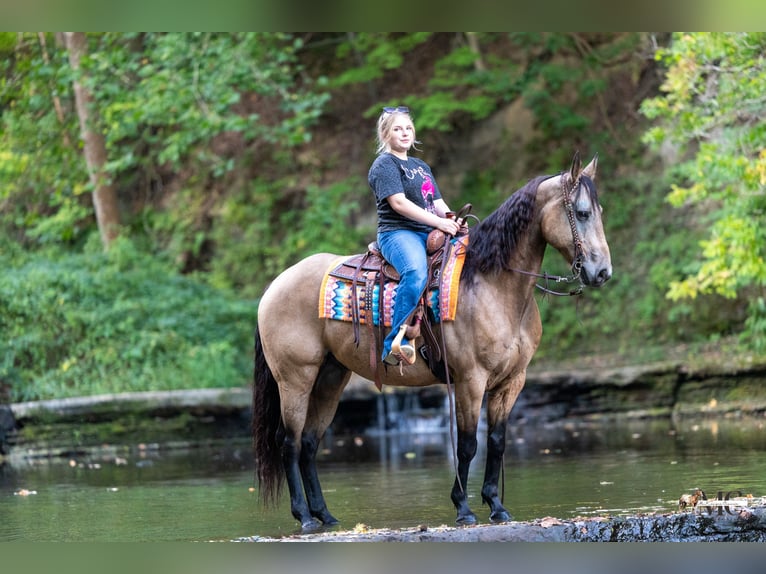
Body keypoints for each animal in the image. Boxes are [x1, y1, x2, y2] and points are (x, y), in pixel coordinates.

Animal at [252, 152, 612, 530]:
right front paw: (463, 508)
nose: (603, 272)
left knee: (309, 442)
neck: (491, 283)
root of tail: (274, 286)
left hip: (330, 377)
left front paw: (496, 505)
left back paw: (324, 514)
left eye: (599, 211)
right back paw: (304, 516)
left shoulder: (512, 381)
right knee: (289, 442)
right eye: (582, 213)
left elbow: (497, 441)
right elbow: (467, 444)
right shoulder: (470, 379)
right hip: (295, 379)